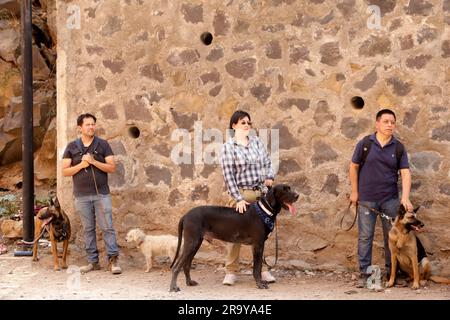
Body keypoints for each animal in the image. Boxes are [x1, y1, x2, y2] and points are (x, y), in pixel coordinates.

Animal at [169, 185, 298, 292]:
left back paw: (189, 282)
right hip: (191, 242)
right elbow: (257, 268)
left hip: (196, 243)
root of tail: (185, 215)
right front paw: (260, 284)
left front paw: (261, 282)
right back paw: (173, 287)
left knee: (186, 265)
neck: (264, 210)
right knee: (176, 267)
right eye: (285, 190)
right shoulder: (257, 245)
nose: (297, 195)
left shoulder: (260, 245)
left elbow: (260, 267)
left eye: (290, 188)